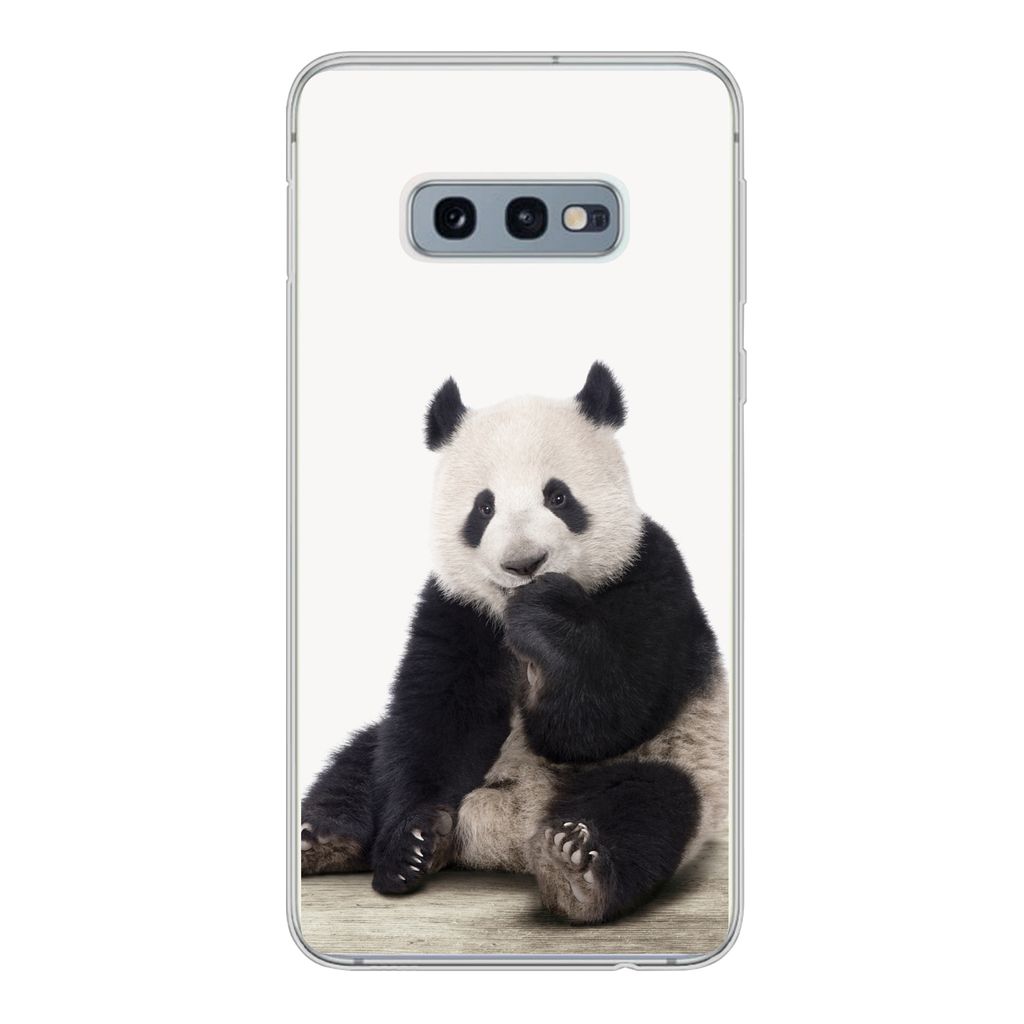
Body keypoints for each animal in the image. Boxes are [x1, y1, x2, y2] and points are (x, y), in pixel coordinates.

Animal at [300, 362, 728, 925]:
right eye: (484, 507)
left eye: (558, 497)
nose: (525, 563)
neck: (508, 611)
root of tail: (507, 835)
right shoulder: (457, 608)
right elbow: (437, 720)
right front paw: (410, 845)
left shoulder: (650, 574)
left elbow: (605, 716)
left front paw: (547, 620)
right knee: (360, 761)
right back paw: (323, 839)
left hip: (682, 761)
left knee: (650, 804)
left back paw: (576, 869)